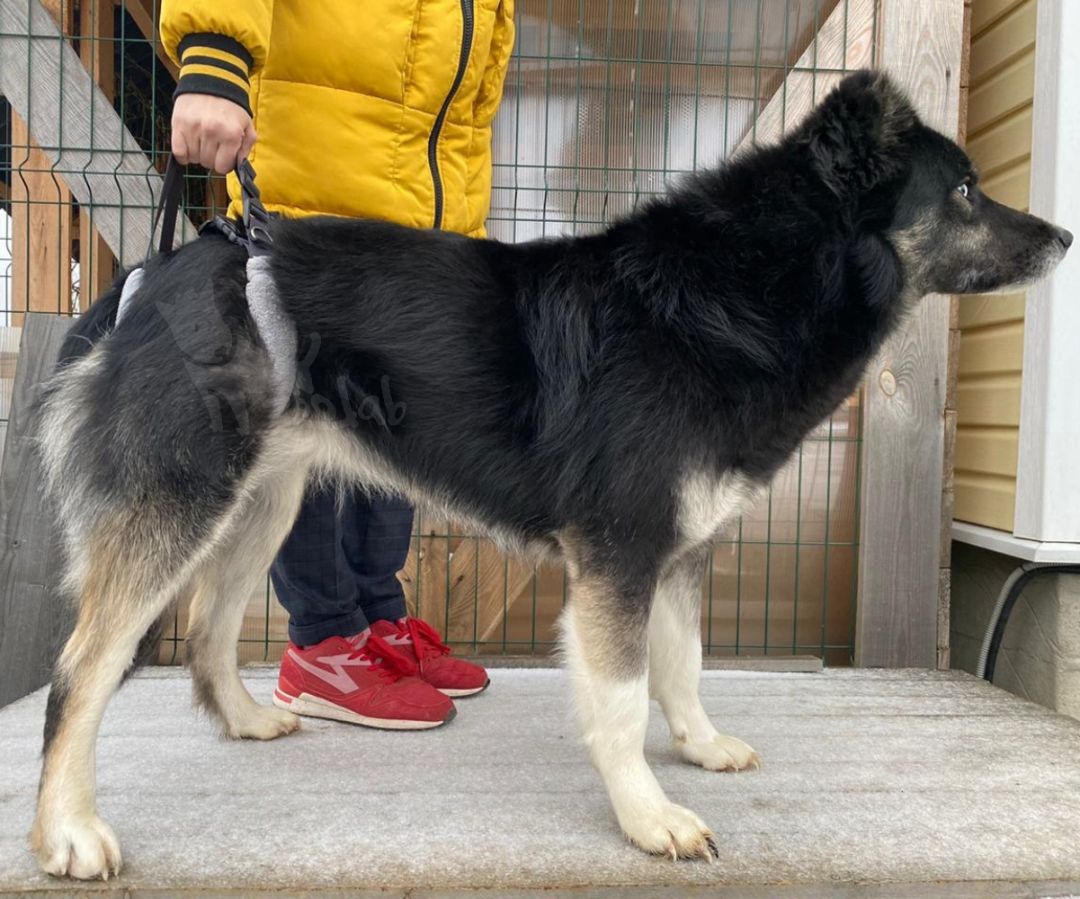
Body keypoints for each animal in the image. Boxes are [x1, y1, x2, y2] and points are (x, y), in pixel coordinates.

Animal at [29, 71, 1067, 877]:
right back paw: (69, 830)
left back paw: (244, 721)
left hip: (263, 500)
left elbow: (683, 665)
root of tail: (162, 271)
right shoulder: (618, 555)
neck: (738, 292)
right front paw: (648, 816)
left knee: (210, 624)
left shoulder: (676, 550)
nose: (1061, 238)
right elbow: (622, 697)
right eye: (967, 190)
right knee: (85, 665)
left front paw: (698, 747)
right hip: (185, 503)